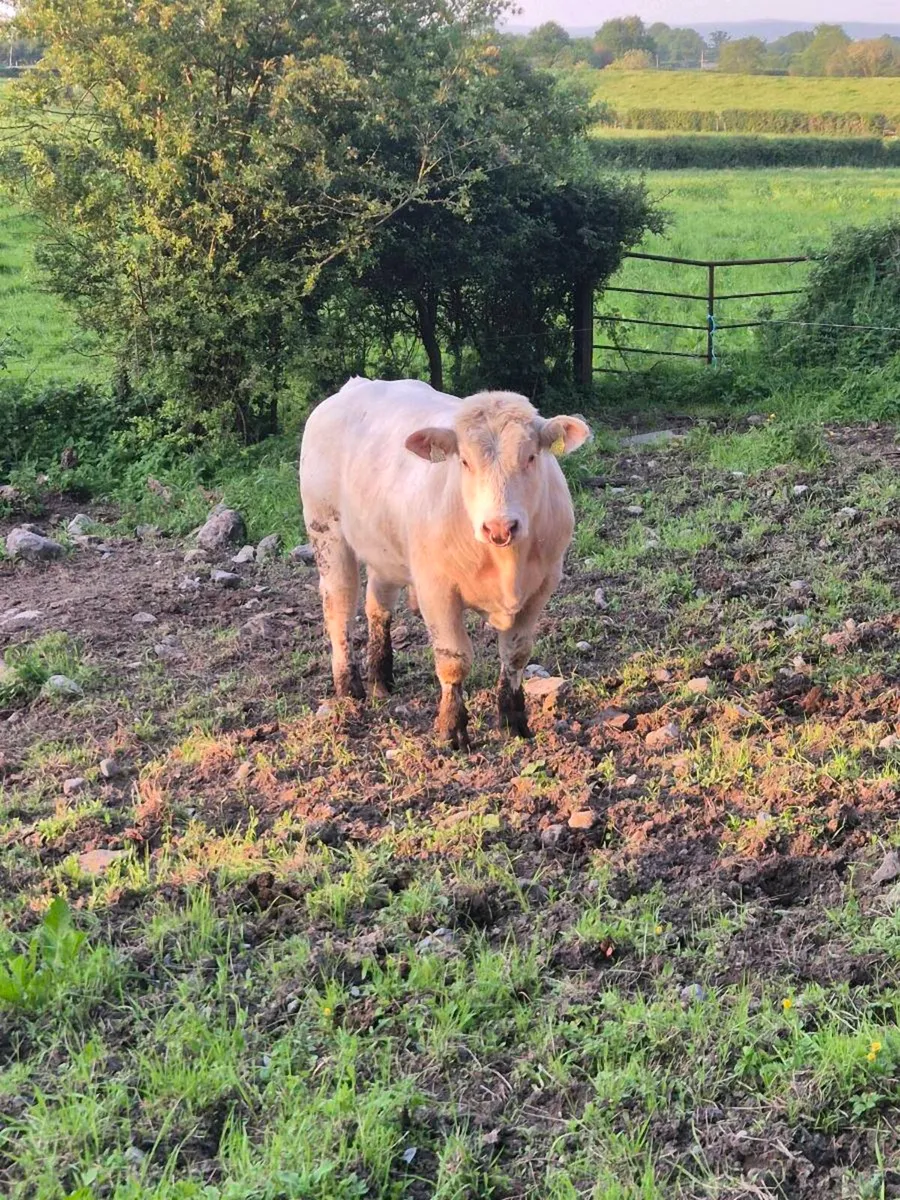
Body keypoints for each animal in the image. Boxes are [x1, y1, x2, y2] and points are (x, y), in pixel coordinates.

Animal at [299, 377, 591, 749]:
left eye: (530, 457)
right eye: (464, 461)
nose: (499, 527)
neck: (505, 563)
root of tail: (354, 386)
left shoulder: (542, 586)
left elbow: (516, 654)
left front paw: (514, 722)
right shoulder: (435, 589)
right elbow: (453, 660)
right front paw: (452, 731)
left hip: (385, 547)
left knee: (377, 604)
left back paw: (380, 678)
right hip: (326, 531)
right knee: (339, 607)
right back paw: (349, 688)